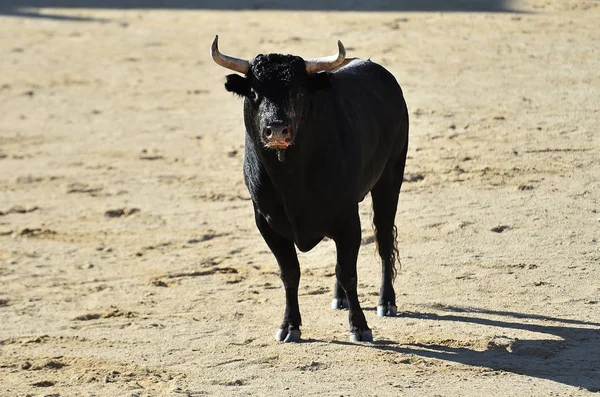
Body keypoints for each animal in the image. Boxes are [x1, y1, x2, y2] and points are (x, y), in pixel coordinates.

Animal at [211, 39, 408, 340]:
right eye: (254, 92)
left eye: (300, 92)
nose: (277, 130)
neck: (290, 179)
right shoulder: (266, 223)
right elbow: (290, 273)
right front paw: (289, 326)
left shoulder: (347, 219)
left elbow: (348, 272)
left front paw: (360, 327)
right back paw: (339, 299)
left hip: (390, 177)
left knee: (384, 238)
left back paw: (386, 302)